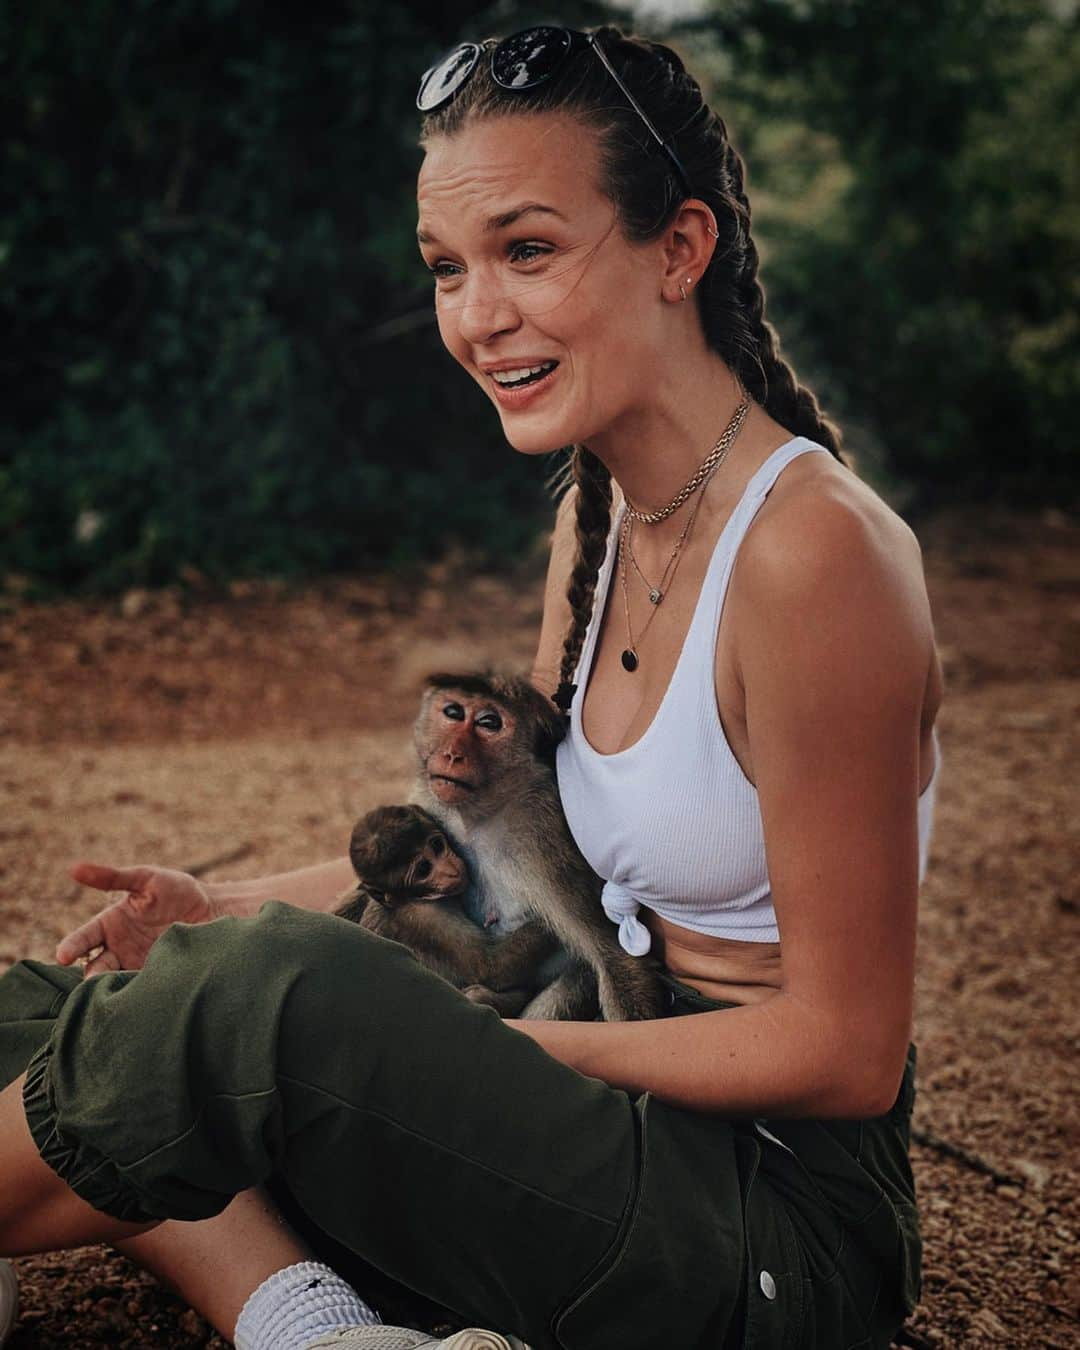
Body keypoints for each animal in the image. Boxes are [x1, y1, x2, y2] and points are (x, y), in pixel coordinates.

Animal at [399, 669, 661, 1015]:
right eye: (453, 712)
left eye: (489, 723)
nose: (452, 755)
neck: (479, 816)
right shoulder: (427, 801)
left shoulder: (541, 840)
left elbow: (614, 955)